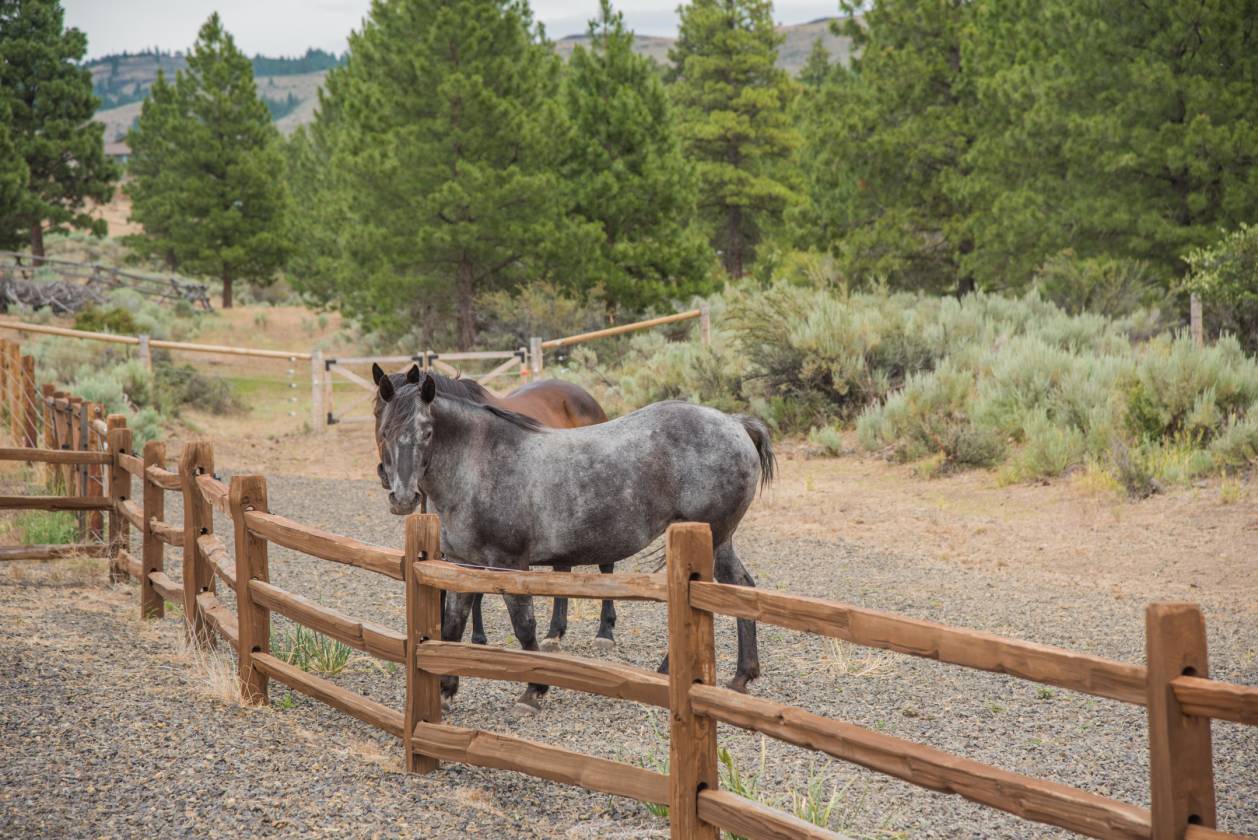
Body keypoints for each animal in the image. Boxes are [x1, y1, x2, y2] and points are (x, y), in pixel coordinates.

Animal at [371, 364, 617, 651]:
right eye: (377, 414)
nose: (387, 477)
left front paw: (478, 637)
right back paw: (554, 632)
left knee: (606, 565)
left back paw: (604, 631)